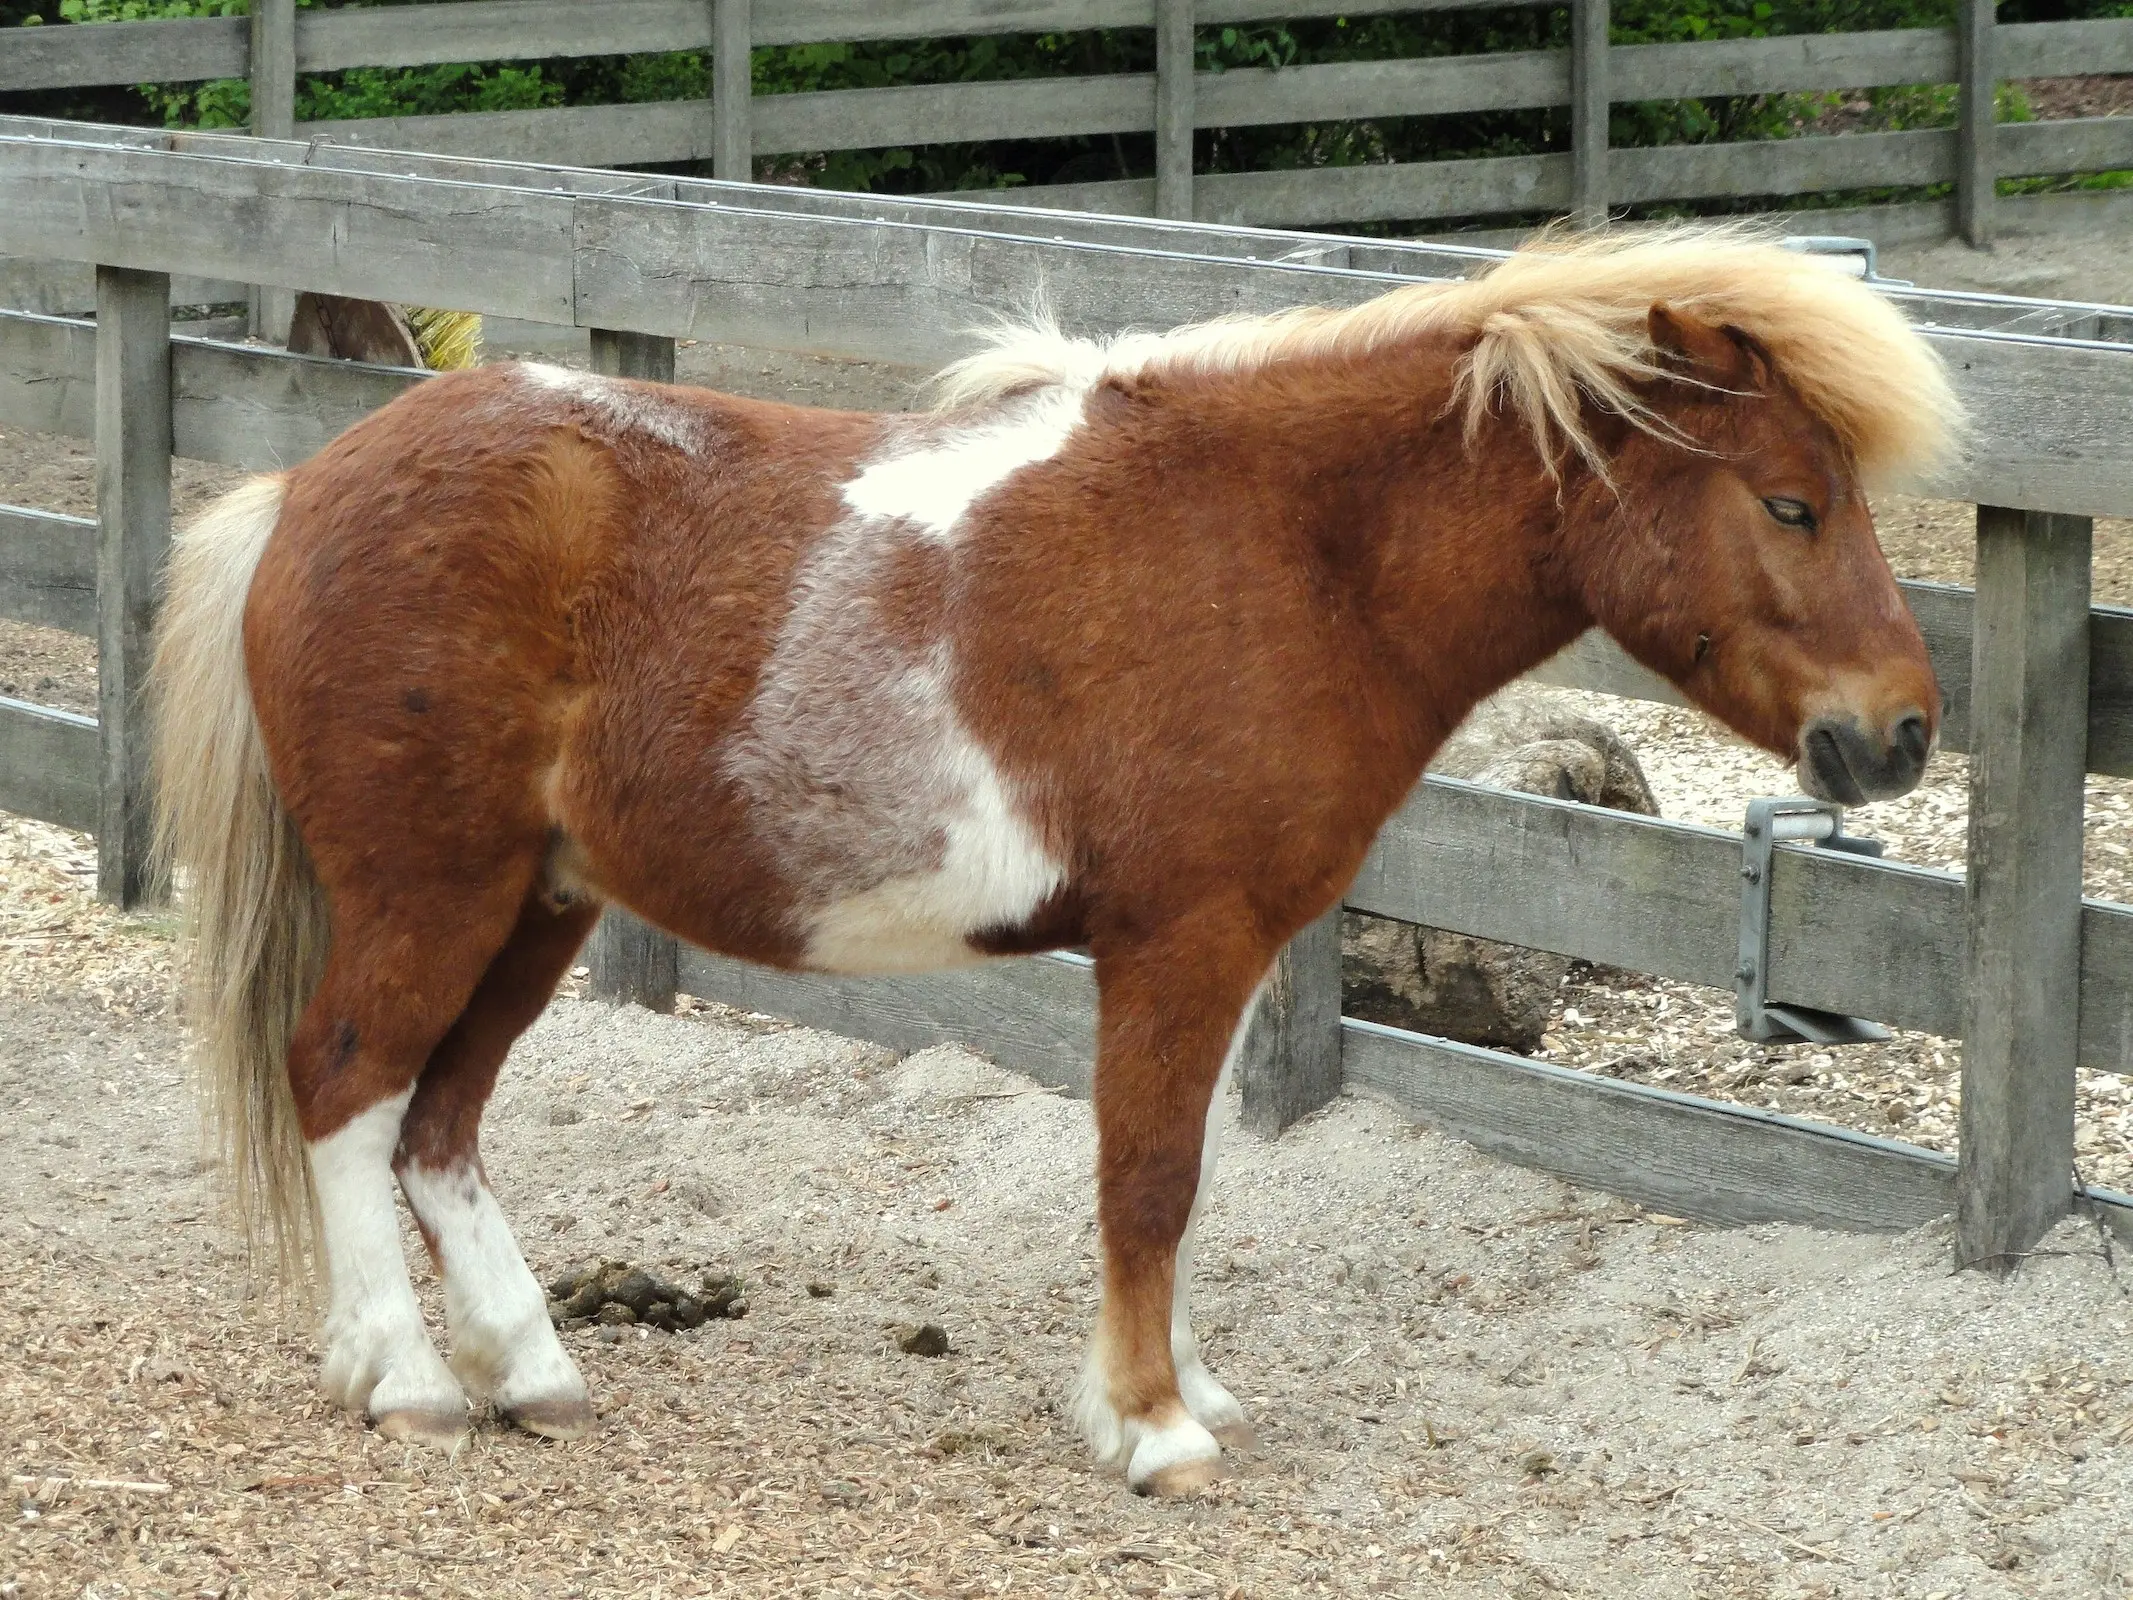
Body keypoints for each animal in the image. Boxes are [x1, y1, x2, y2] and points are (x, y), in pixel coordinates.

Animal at [154, 231, 1953, 1501]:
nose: (1899, 734)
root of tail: (303, 489)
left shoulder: (1217, 954)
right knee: (346, 1084)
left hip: (536, 904)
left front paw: (1178, 1390)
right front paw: (1153, 1429)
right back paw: (406, 1380)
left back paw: (526, 1369)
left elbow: (1178, 1177)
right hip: (433, 897)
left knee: (439, 1125)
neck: (1282, 547)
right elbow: (1144, 1181)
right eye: (1789, 504)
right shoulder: (1180, 939)